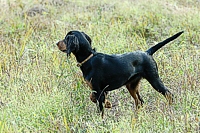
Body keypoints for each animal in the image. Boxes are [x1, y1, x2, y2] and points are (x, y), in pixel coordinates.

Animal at [55, 30, 183, 117]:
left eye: (66, 39)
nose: (56, 43)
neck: (89, 58)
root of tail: (147, 52)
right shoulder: (101, 90)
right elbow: (92, 97)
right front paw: (108, 103)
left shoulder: (99, 89)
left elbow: (99, 108)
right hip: (131, 85)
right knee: (140, 101)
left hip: (154, 79)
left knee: (169, 94)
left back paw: (170, 109)